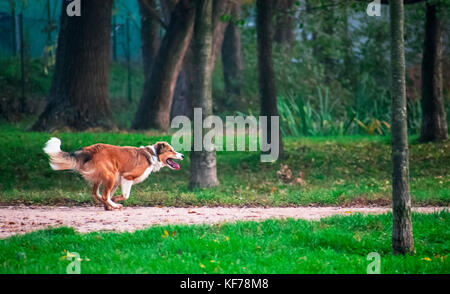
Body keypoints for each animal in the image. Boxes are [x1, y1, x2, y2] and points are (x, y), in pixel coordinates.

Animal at [42, 138, 183, 210]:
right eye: (171, 150)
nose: (182, 155)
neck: (153, 155)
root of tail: (91, 149)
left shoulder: (118, 180)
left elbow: (111, 194)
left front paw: (110, 204)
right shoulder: (127, 177)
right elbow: (125, 195)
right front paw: (114, 202)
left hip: (105, 177)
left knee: (96, 193)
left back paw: (108, 205)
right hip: (111, 174)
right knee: (103, 195)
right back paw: (114, 205)